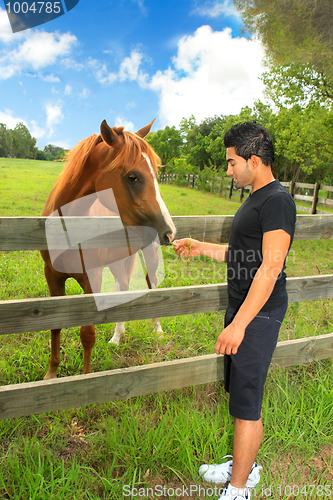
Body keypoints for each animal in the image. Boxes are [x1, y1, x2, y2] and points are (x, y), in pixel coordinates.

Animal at [40, 120, 176, 378]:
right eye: (133, 177)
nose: (170, 231)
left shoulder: (91, 279)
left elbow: (87, 334)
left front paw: (85, 378)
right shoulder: (52, 276)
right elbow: (54, 326)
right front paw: (50, 375)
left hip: (150, 257)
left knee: (153, 285)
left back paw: (158, 330)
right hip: (117, 261)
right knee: (123, 288)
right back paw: (116, 337)